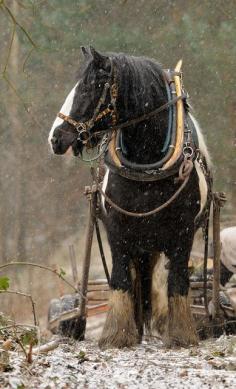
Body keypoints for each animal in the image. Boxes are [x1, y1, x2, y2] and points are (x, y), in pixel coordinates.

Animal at [48, 46, 211, 348]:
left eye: (89, 87)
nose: (55, 138)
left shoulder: (183, 233)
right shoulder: (117, 229)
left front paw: (181, 335)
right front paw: (118, 335)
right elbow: (121, 278)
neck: (147, 163)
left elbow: (178, 281)